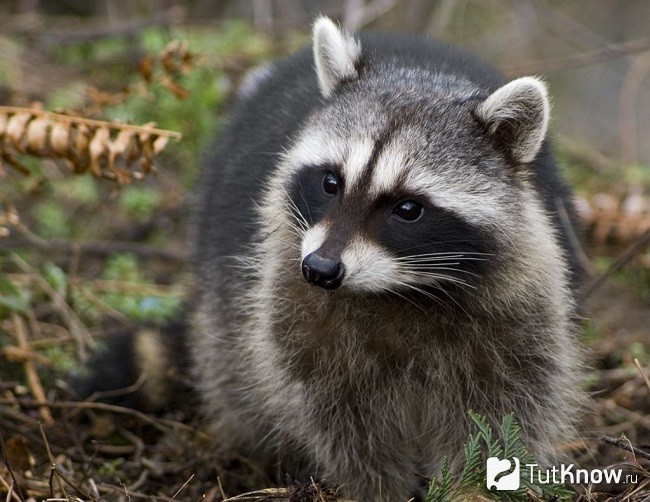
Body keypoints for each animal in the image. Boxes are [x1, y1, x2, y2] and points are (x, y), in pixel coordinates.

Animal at [79, 17, 584, 500]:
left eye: (408, 209)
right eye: (330, 182)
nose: (320, 270)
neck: (399, 290)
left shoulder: (519, 303)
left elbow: (507, 405)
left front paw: (472, 488)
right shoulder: (292, 299)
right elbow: (338, 414)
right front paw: (377, 488)